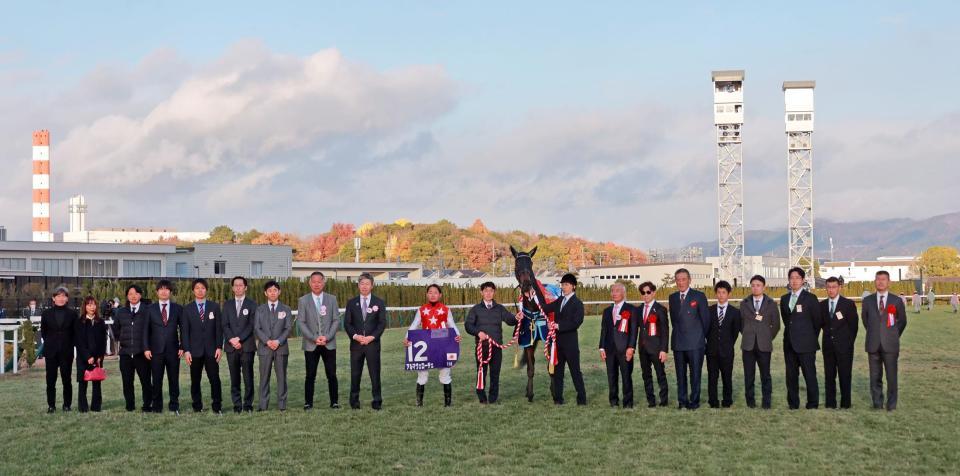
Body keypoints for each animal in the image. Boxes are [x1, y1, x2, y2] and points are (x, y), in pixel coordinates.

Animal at [510, 245, 556, 402]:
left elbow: (551, 365)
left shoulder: (549, 338)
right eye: (517, 264)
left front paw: (555, 392)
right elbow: (530, 368)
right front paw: (530, 393)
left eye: (530, 264)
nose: (526, 285)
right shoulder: (528, 339)